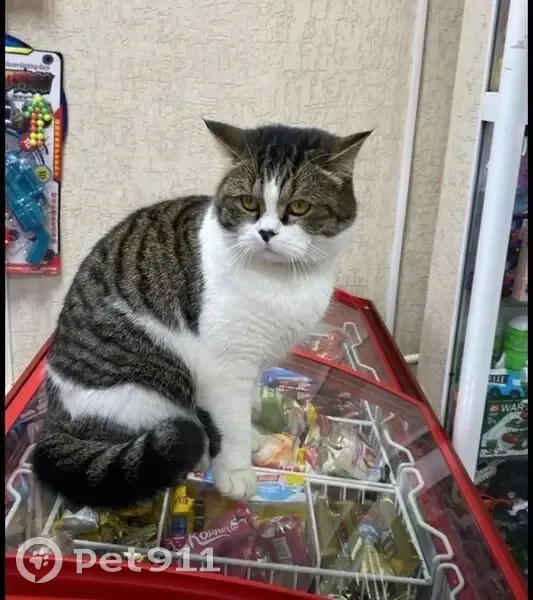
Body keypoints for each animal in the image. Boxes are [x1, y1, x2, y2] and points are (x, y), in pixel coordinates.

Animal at [32, 119, 372, 509]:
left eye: (300, 206)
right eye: (249, 202)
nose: (266, 232)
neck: (282, 283)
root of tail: (52, 419)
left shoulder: (254, 361)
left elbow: (242, 410)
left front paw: (252, 438)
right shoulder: (226, 366)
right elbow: (232, 425)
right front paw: (235, 471)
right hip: (153, 385)